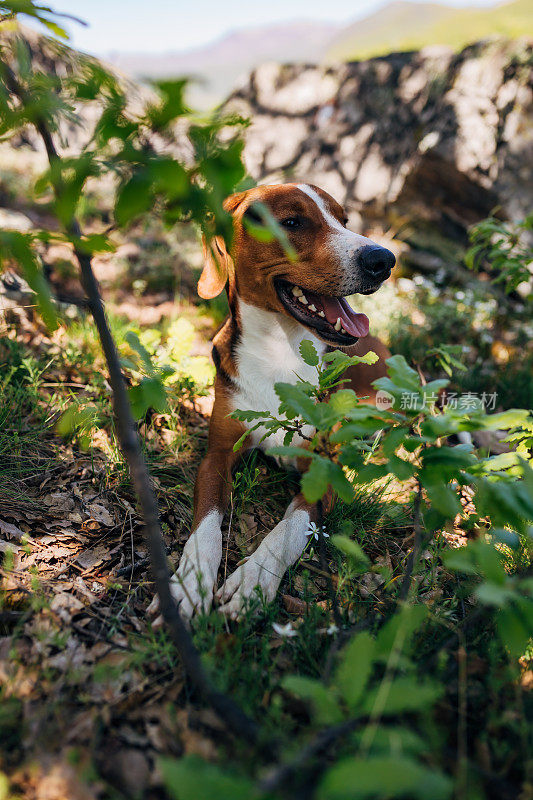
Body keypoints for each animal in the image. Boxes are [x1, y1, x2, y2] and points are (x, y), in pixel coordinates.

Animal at [152, 184, 392, 620]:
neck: (280, 351)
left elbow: (290, 529)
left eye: (344, 220)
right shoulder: (216, 456)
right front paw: (191, 581)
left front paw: (253, 580)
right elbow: (207, 522)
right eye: (292, 222)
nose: (383, 259)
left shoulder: (323, 473)